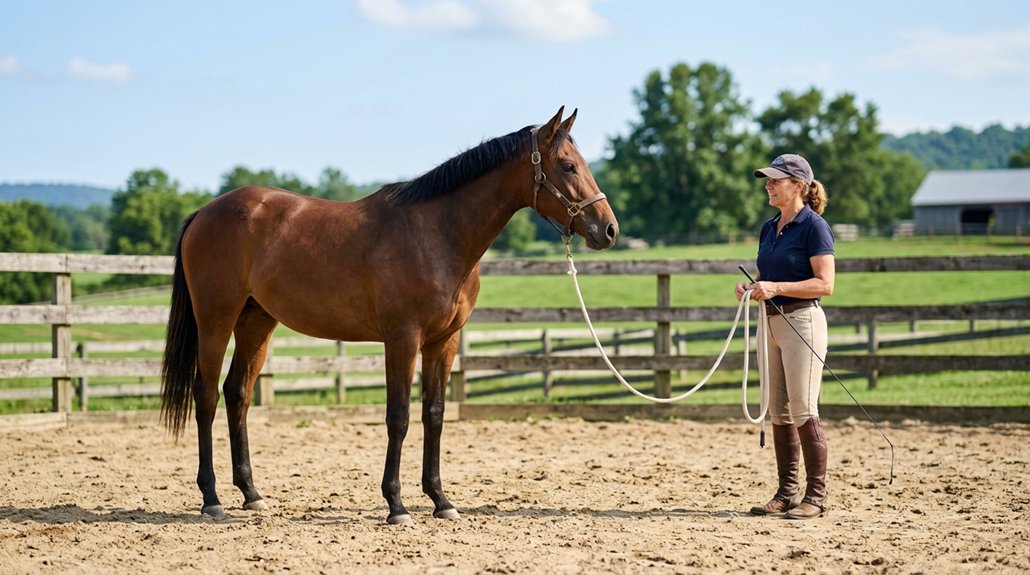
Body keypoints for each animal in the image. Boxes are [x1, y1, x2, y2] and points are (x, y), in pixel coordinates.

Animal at [160, 107, 620, 524]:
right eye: (568, 165)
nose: (609, 229)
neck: (436, 234)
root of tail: (204, 212)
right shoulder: (403, 339)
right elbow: (398, 417)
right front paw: (396, 505)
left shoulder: (443, 342)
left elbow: (434, 414)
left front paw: (441, 500)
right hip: (216, 320)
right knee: (206, 396)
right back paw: (211, 498)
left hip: (257, 321)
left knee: (237, 393)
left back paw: (252, 494)